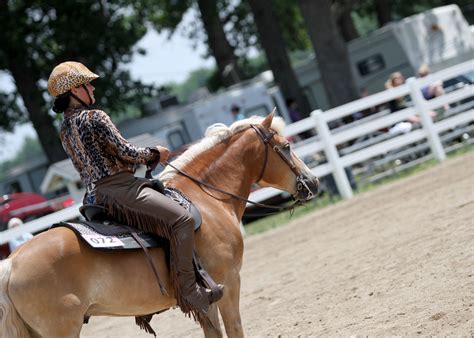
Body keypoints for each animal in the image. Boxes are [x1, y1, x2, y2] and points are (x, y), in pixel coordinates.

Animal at [0, 112, 318, 336]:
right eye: (286, 146)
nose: (312, 181)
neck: (206, 197)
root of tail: (11, 264)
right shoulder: (229, 283)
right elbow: (235, 330)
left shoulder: (206, 299)